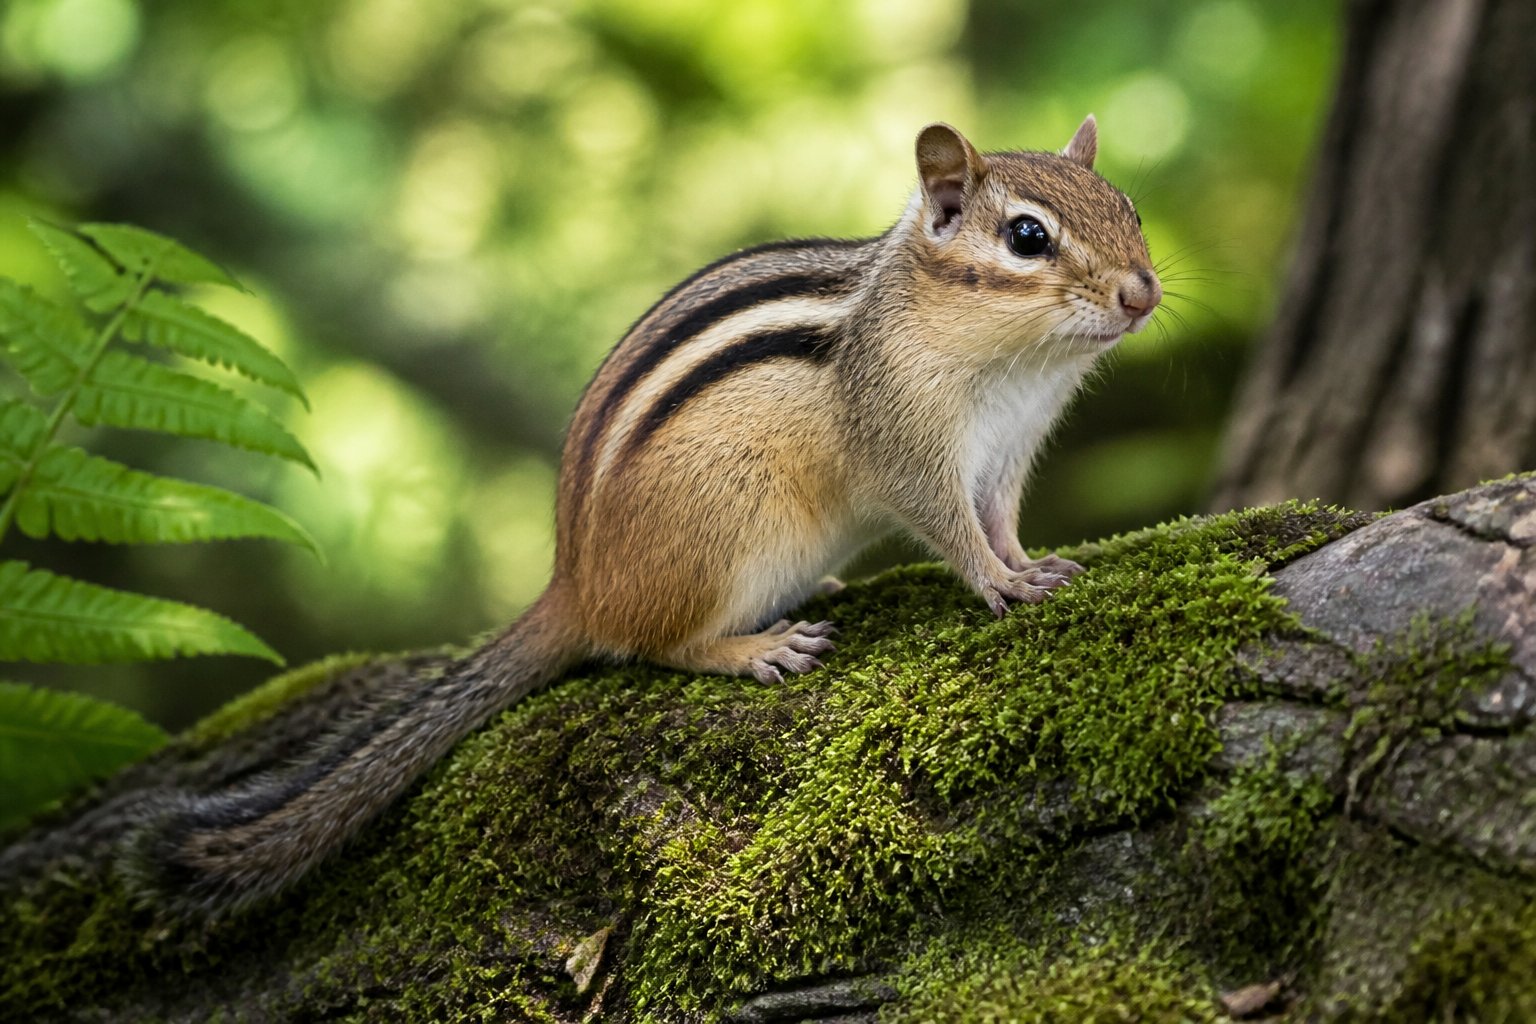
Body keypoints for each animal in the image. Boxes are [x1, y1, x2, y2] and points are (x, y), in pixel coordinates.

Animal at [125, 117, 1161, 916]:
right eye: (1026, 237)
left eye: (1132, 211)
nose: (1143, 292)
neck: (1011, 365)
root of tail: (575, 582)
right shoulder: (908, 441)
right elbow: (949, 528)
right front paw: (998, 584)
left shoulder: (1010, 450)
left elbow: (1002, 519)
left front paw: (1033, 563)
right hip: (730, 532)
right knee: (655, 643)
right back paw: (753, 647)